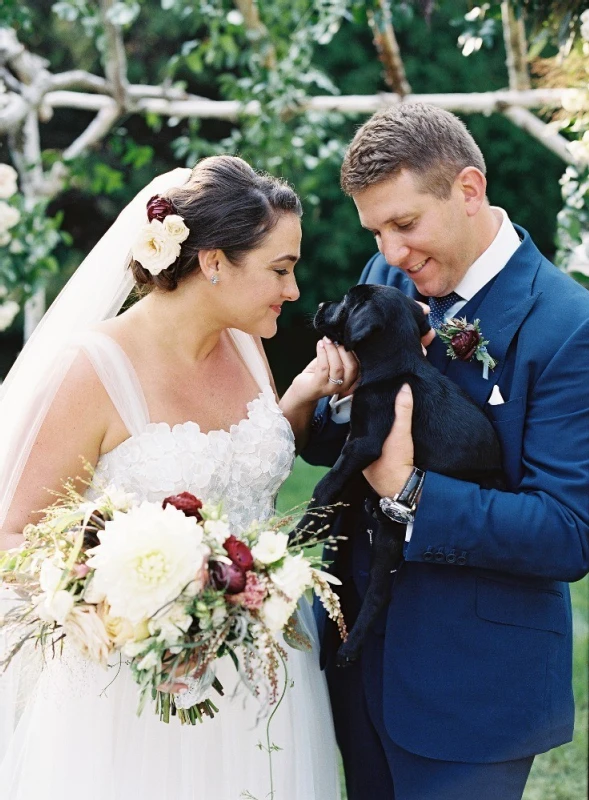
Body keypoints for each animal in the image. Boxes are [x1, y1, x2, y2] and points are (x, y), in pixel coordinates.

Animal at [298, 284, 500, 664]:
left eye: (345, 302)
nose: (318, 305)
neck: (395, 366)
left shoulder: (364, 444)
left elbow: (326, 484)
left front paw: (300, 530)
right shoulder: (357, 453)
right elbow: (340, 489)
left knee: (378, 594)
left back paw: (348, 649)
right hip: (389, 540)